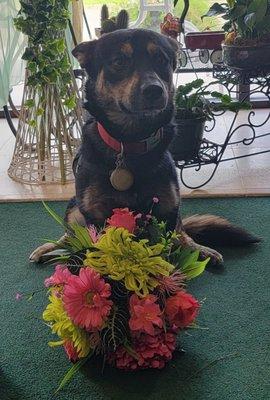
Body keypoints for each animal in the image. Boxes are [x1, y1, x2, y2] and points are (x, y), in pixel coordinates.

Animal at [29, 29, 258, 264]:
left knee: (182, 233)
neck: (129, 143)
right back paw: (50, 248)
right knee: (70, 235)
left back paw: (200, 249)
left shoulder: (166, 210)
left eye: (161, 60)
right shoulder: (94, 214)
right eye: (119, 61)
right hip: (74, 206)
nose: (154, 91)